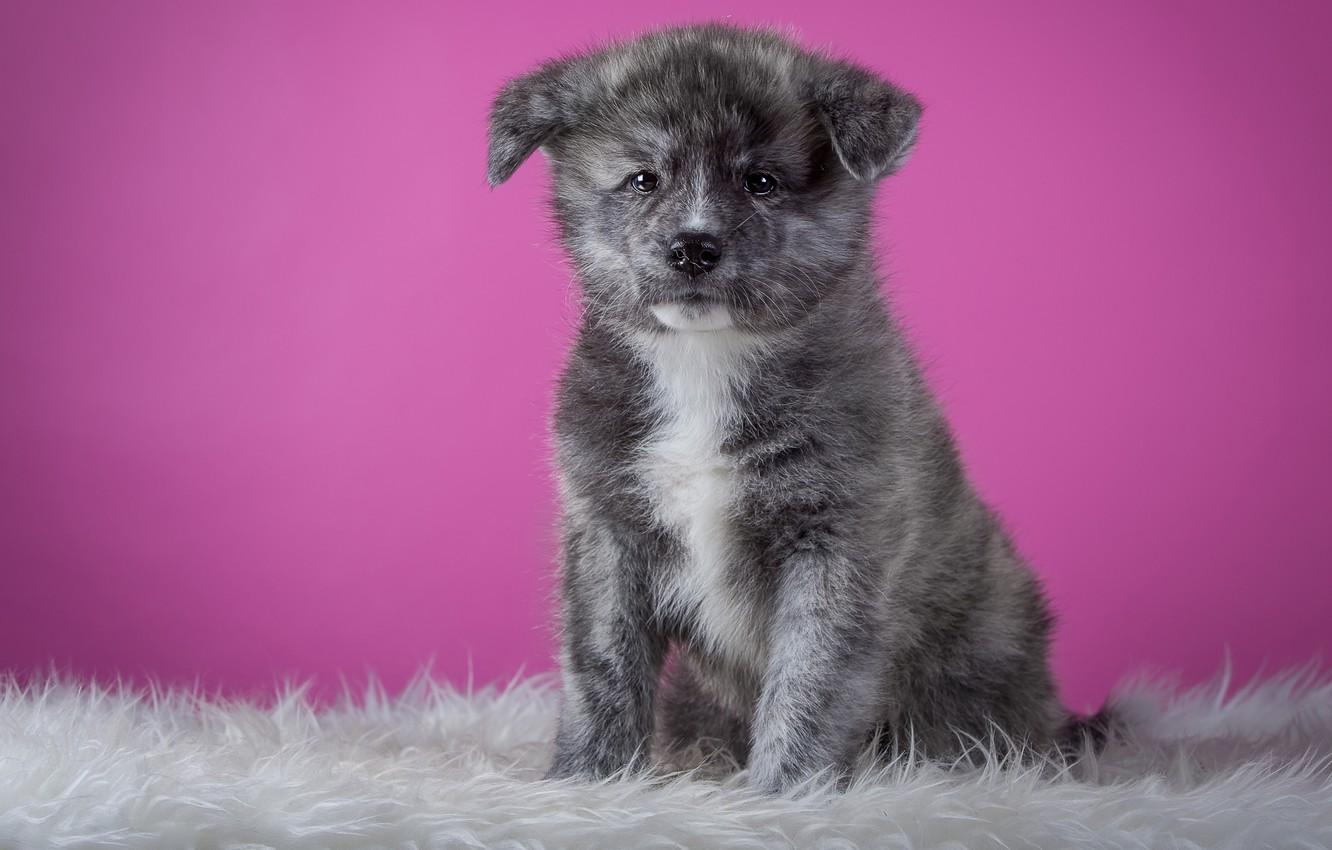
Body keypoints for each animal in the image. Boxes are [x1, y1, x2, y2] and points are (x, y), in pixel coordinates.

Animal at [490, 24, 1102, 799]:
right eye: (643, 179)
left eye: (762, 181)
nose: (693, 248)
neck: (705, 361)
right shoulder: (607, 533)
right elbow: (599, 668)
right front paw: (587, 781)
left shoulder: (836, 541)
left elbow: (810, 680)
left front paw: (785, 795)